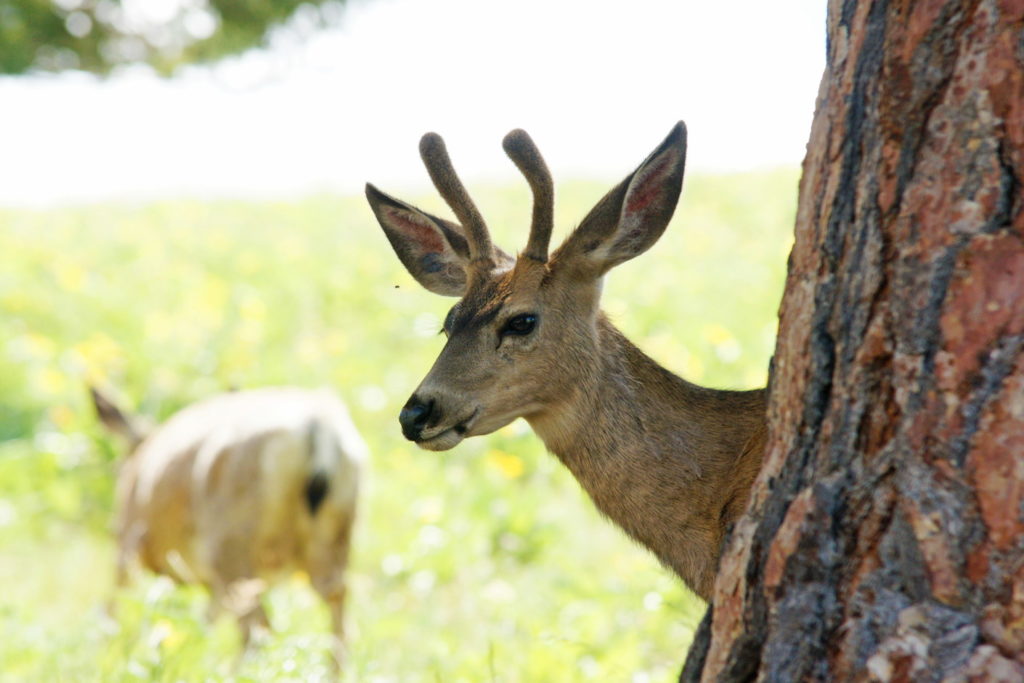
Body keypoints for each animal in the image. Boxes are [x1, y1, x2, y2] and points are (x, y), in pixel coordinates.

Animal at [90, 387, 366, 671]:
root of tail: (320, 426)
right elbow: (203, 622)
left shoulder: (128, 545)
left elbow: (112, 611)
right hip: (327, 547)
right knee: (339, 617)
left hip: (231, 551)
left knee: (257, 627)